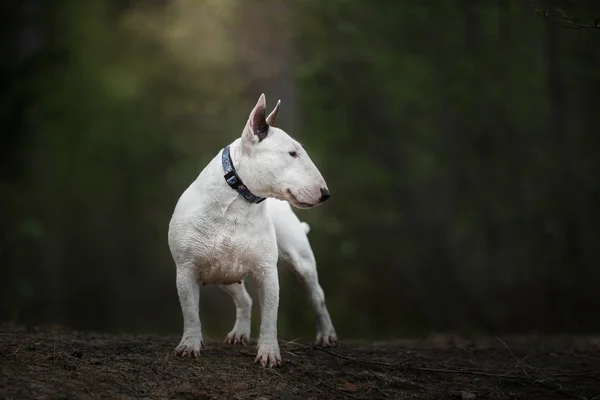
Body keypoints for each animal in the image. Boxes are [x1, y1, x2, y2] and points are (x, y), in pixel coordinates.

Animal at [169, 93, 338, 366]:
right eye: (292, 153)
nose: (325, 194)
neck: (238, 201)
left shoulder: (267, 271)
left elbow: (270, 317)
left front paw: (268, 353)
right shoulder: (186, 269)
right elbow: (191, 312)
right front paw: (189, 346)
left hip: (302, 262)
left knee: (317, 297)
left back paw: (326, 334)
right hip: (222, 272)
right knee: (244, 300)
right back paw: (239, 333)